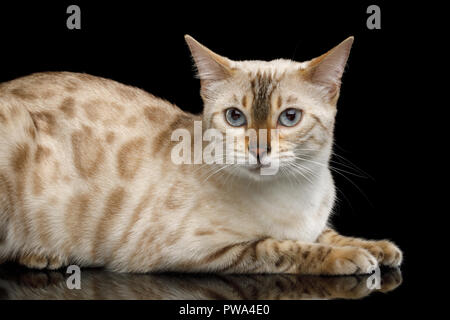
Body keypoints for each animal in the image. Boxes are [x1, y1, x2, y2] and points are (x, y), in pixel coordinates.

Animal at [0, 35, 400, 276]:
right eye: (235, 117)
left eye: (289, 117)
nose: (259, 149)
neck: (296, 195)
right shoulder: (195, 249)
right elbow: (280, 246)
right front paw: (349, 259)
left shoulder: (315, 224)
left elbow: (328, 234)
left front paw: (378, 248)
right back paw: (43, 254)